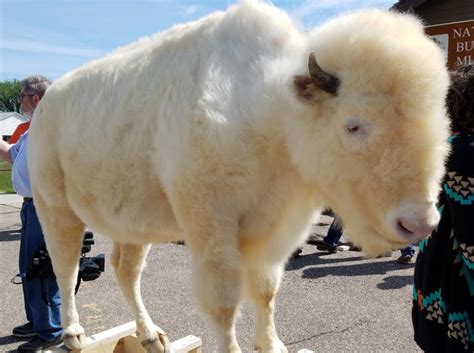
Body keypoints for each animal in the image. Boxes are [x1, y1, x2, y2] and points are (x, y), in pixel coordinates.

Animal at [27, 1, 450, 350]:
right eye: (353, 125)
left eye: (438, 121)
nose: (419, 223)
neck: (273, 113)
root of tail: (44, 109)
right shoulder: (212, 227)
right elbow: (224, 302)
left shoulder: (276, 227)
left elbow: (265, 290)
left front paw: (272, 345)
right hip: (55, 209)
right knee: (65, 265)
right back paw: (75, 333)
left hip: (130, 224)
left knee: (125, 270)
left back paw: (150, 336)